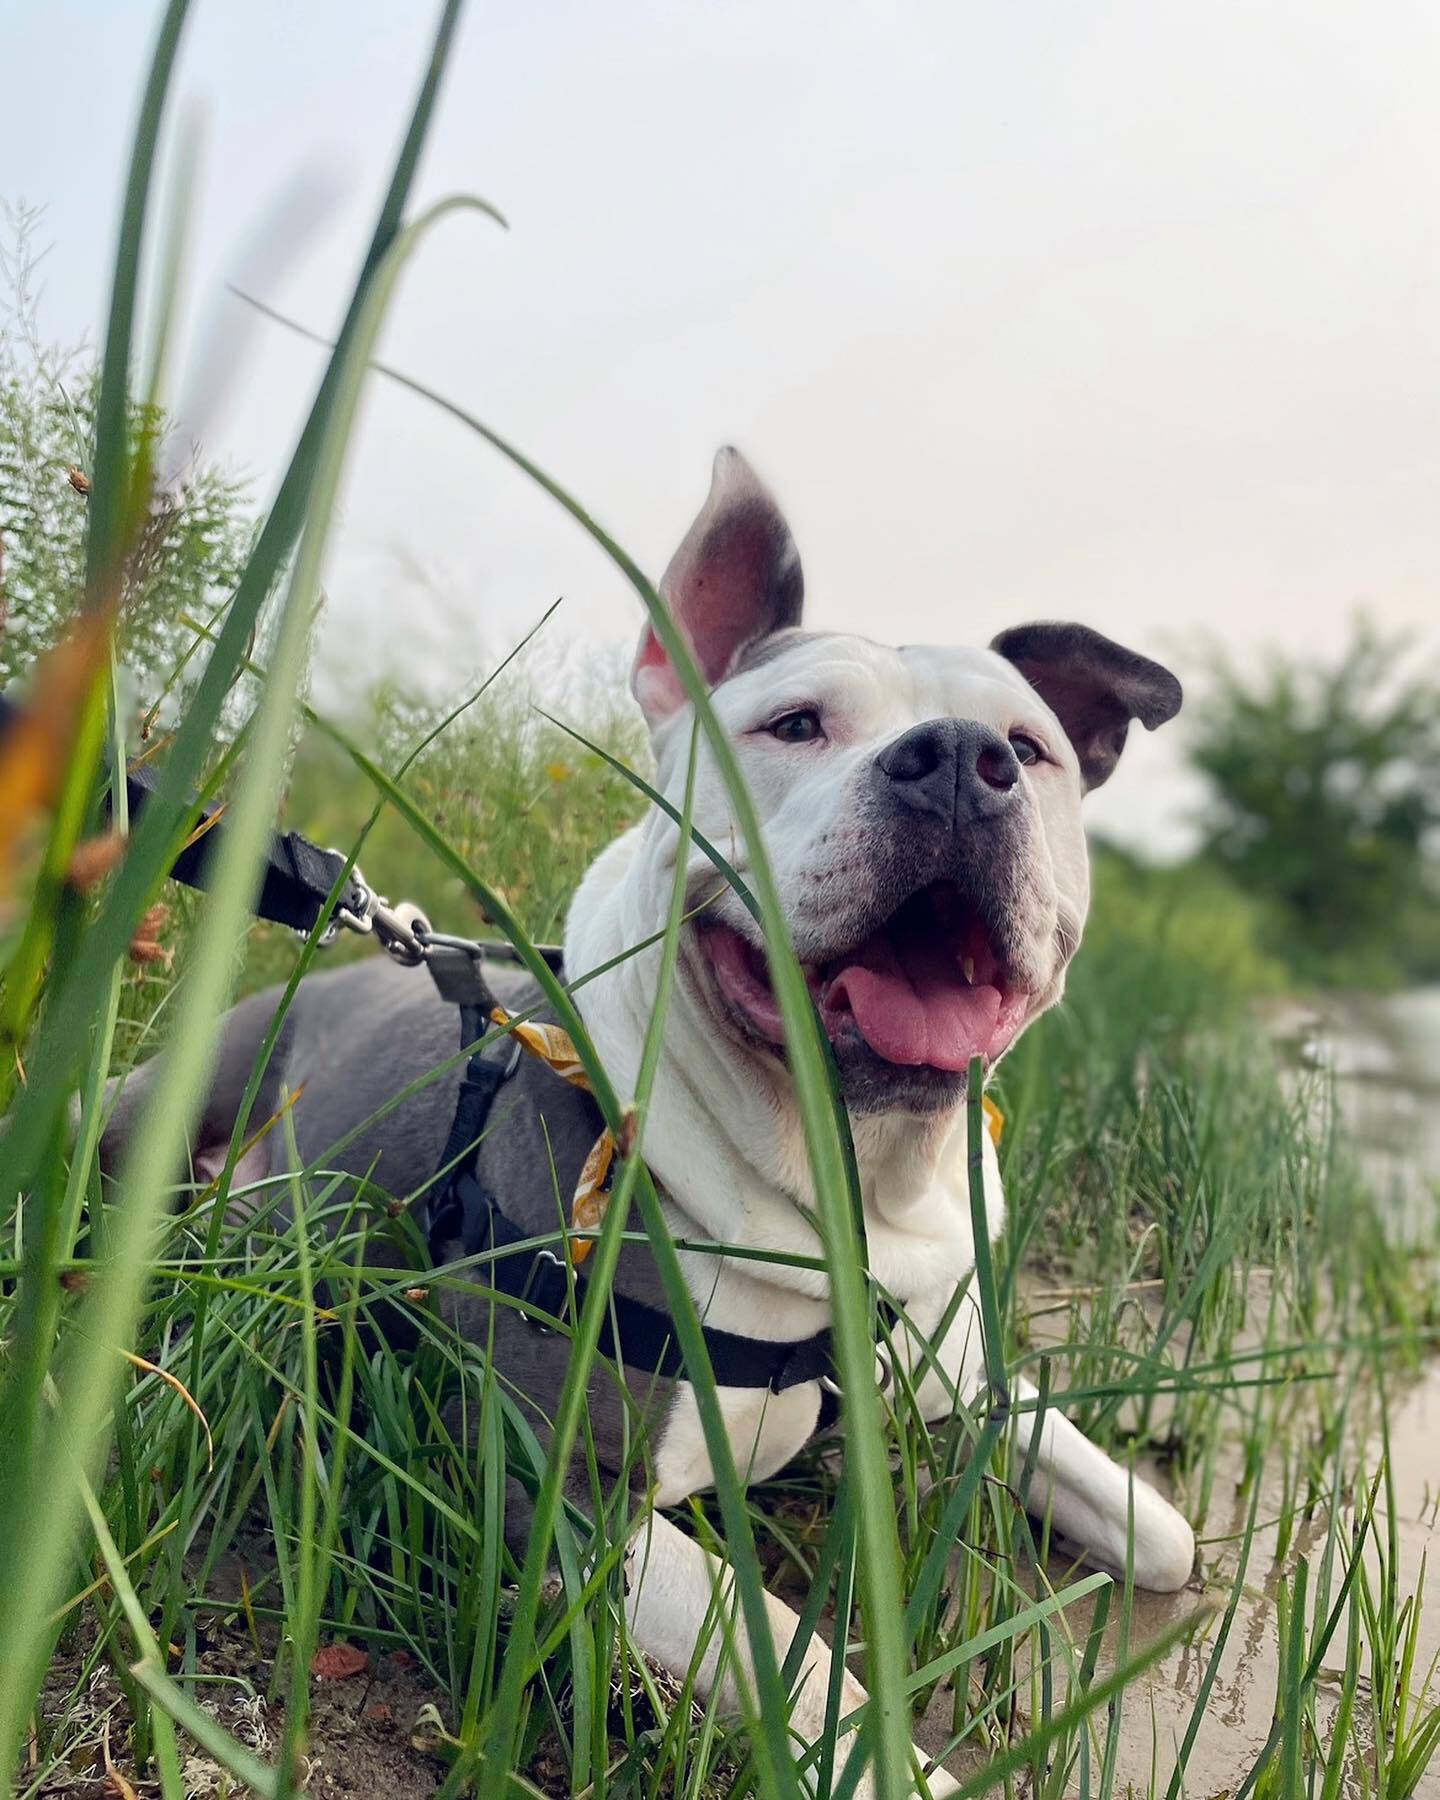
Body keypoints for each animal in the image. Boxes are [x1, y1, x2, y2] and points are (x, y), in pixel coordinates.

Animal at [103, 442, 1195, 1792]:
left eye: (1029, 748)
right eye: (793, 725)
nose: (954, 759)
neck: (842, 1171)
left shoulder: (956, 1372)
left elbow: (1165, 1532)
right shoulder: (562, 1492)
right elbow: (807, 1664)